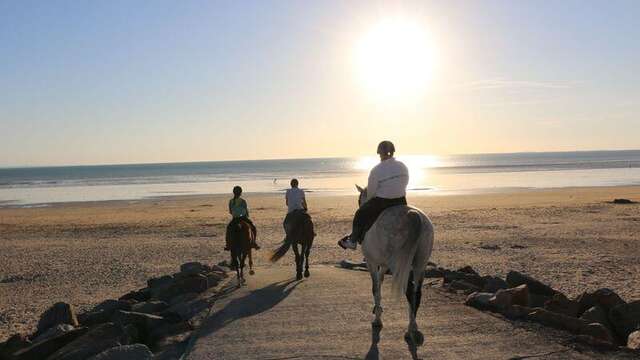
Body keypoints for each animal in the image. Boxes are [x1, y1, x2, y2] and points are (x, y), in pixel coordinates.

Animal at [356, 186, 436, 346]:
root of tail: (414, 216)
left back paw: (411, 328)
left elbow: (375, 288)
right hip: (420, 264)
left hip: (397, 264)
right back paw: (413, 325)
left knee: (409, 290)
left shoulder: (372, 262)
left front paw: (377, 319)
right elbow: (379, 282)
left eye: (359, 200)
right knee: (416, 292)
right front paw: (377, 310)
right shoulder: (384, 265)